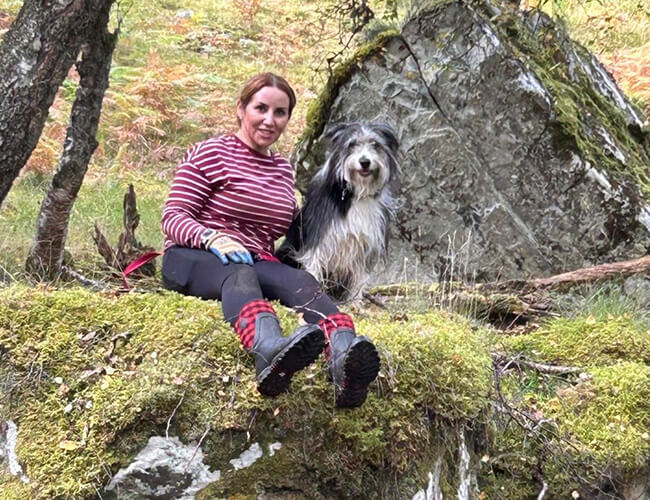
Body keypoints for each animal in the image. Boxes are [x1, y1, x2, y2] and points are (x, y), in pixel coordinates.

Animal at [279, 122, 400, 301]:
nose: (365, 162)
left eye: (375, 144)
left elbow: (359, 275)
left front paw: (355, 302)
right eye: (352, 144)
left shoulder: (366, 244)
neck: (356, 194)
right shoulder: (320, 236)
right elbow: (314, 265)